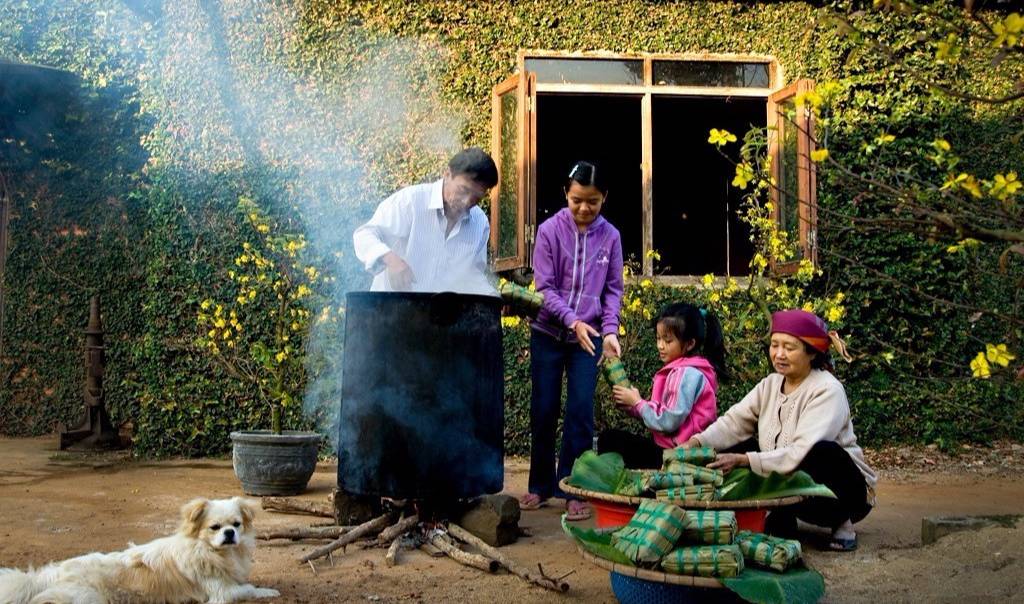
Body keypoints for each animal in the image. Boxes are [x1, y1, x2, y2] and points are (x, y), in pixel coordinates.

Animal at [0, 497, 278, 604]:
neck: (213, 553)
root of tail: (51, 574)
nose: (229, 534)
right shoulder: (222, 592)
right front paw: (271, 591)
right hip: (86, 598)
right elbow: (250, 589)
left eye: (236, 525)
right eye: (215, 528)